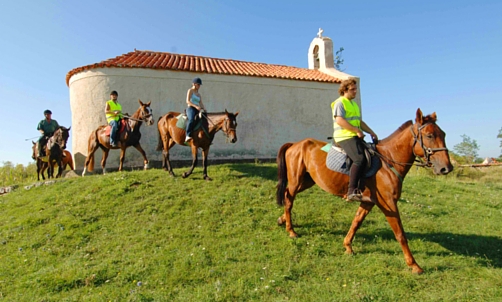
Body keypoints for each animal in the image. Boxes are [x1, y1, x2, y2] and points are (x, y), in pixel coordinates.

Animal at [276, 108, 452, 274]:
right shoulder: (388, 203)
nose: (447, 168)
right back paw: (291, 230)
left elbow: (356, 222)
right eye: (429, 135)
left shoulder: (368, 202)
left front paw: (347, 246)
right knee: (289, 199)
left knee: (287, 196)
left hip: (307, 181)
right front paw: (414, 265)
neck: (388, 161)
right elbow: (400, 234)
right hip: (296, 180)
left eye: (443, 134)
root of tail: (294, 144)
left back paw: (282, 220)